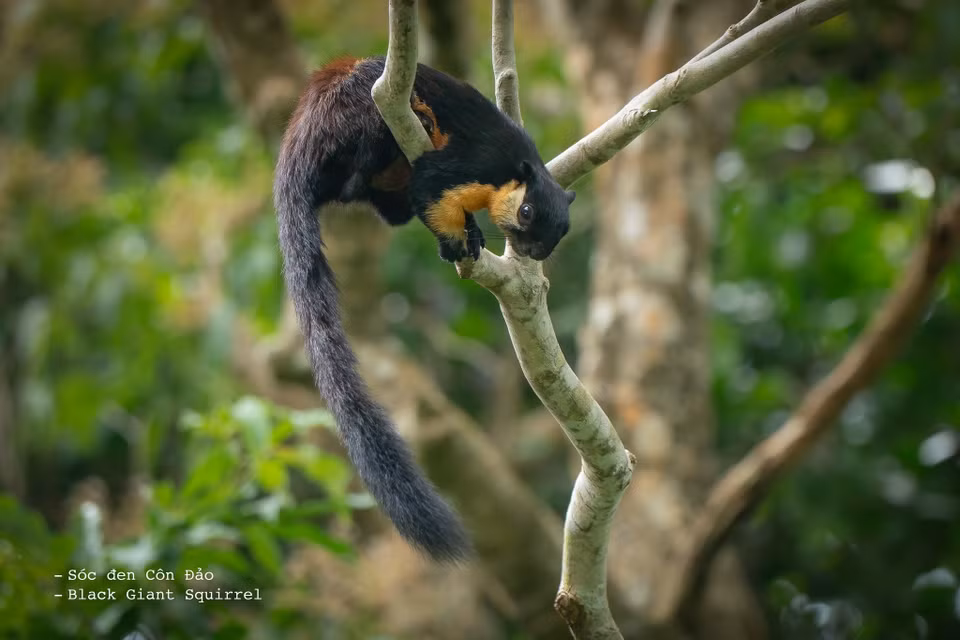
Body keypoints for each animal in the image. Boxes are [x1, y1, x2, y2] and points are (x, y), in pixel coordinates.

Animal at [273, 55, 575, 561]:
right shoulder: (469, 165)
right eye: (528, 213)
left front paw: (471, 236)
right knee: (360, 177)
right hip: (362, 120)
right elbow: (431, 192)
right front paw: (457, 243)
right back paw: (420, 117)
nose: (533, 250)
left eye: (560, 233)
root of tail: (300, 135)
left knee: (380, 203)